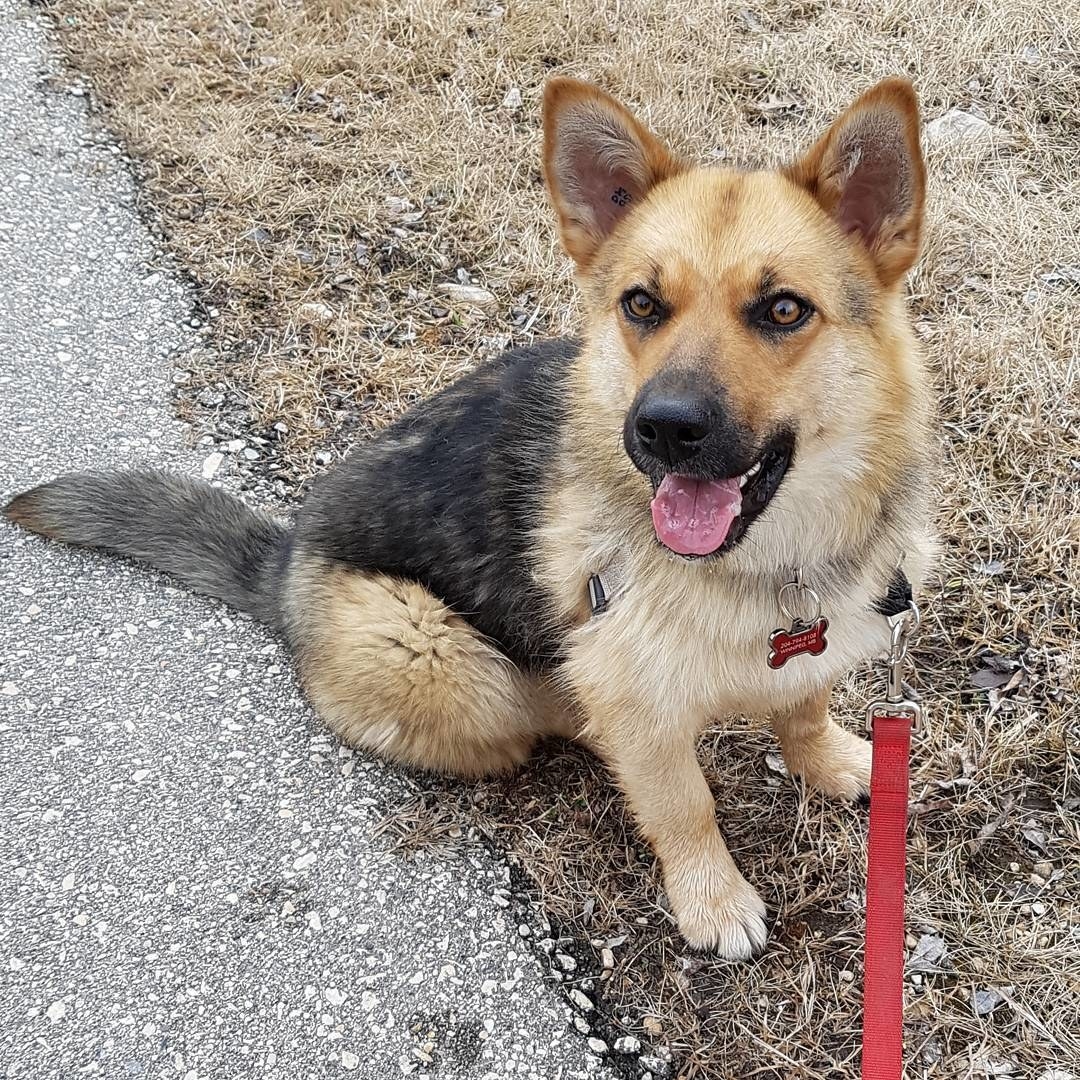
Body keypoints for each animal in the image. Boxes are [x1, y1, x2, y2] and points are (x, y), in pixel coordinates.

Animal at [4, 76, 937, 959]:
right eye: (641, 305)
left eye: (783, 309)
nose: (663, 430)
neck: (766, 560)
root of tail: (285, 561)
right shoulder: (633, 701)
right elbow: (684, 802)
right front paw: (712, 898)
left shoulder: (810, 648)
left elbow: (803, 709)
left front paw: (832, 763)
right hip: (443, 658)